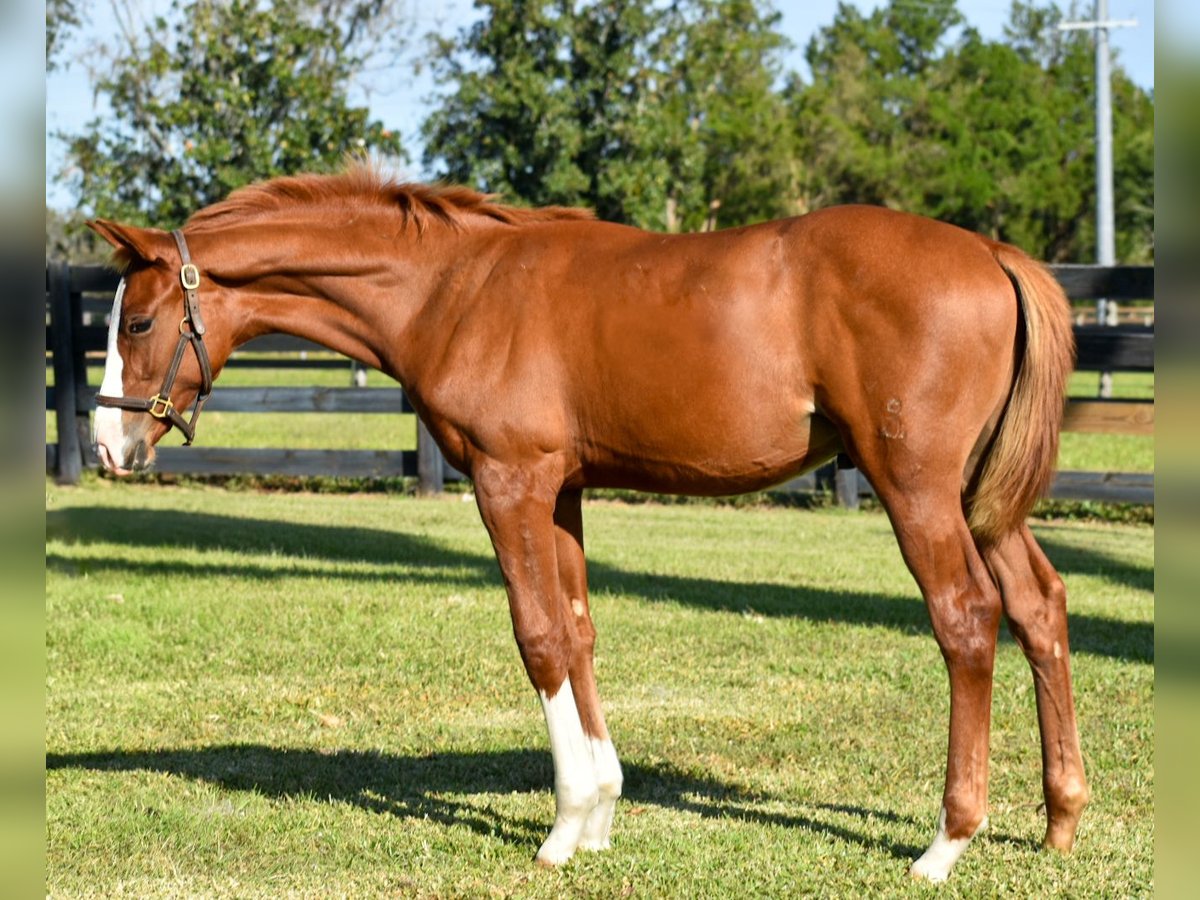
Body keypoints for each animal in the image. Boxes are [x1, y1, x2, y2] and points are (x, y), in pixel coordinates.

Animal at [88, 165, 1089, 883]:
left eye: (136, 323)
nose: (108, 444)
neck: (456, 288)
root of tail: (993, 253)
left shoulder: (510, 482)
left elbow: (536, 638)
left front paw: (563, 828)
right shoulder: (562, 489)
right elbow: (577, 631)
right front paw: (603, 810)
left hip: (917, 487)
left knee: (967, 618)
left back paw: (946, 843)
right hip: (979, 497)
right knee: (1039, 605)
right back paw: (1060, 819)